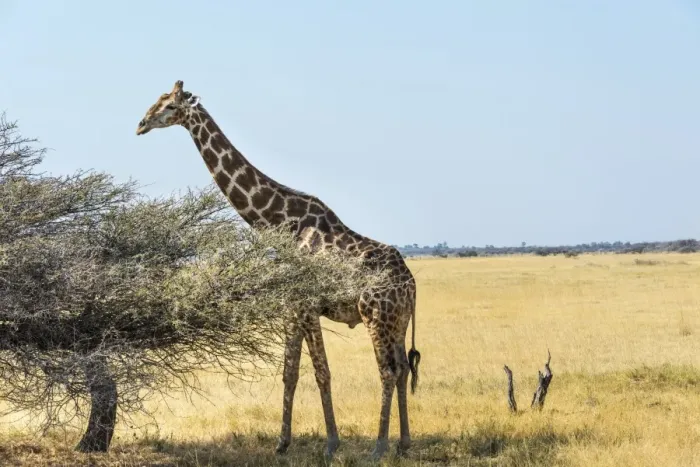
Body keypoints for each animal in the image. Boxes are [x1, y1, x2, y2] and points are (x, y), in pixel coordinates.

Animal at [135, 80, 422, 459]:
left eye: (168, 105)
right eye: (157, 99)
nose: (140, 124)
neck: (282, 223)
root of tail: (412, 284)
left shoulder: (306, 304)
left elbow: (321, 372)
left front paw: (331, 444)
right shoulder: (292, 305)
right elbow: (290, 372)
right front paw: (282, 443)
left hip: (375, 314)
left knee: (387, 370)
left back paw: (378, 448)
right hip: (398, 320)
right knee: (403, 368)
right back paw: (403, 444)